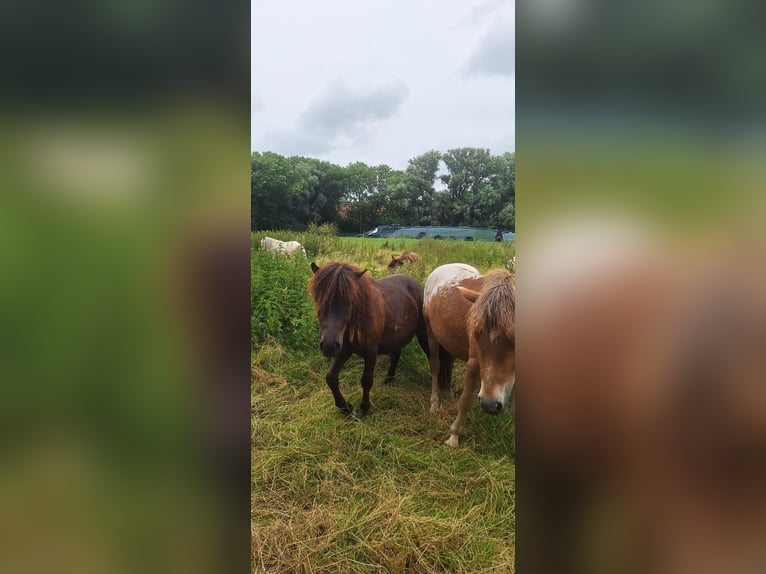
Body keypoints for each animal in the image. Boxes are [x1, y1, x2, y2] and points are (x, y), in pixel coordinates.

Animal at [310, 262, 432, 418]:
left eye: (350, 301)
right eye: (319, 299)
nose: (328, 346)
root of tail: (415, 282)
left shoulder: (370, 352)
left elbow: (366, 380)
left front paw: (363, 409)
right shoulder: (343, 349)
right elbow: (330, 377)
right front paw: (345, 407)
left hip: (423, 333)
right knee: (396, 355)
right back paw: (389, 380)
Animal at [426, 264, 516, 448]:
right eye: (477, 334)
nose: (490, 405)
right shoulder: (474, 362)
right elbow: (466, 400)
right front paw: (453, 437)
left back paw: (448, 393)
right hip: (431, 333)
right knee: (435, 366)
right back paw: (434, 403)